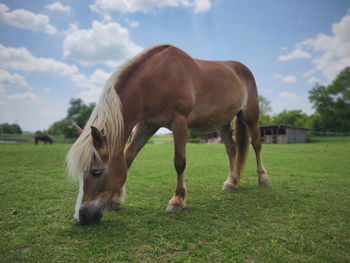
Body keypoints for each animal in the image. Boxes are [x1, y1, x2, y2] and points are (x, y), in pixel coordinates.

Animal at [66, 44, 268, 226]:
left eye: (96, 171)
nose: (81, 217)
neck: (158, 78)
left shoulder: (179, 123)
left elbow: (179, 162)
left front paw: (177, 201)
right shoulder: (146, 125)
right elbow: (128, 157)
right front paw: (116, 200)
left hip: (251, 115)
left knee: (257, 145)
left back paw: (262, 179)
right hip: (222, 123)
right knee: (231, 148)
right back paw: (231, 182)